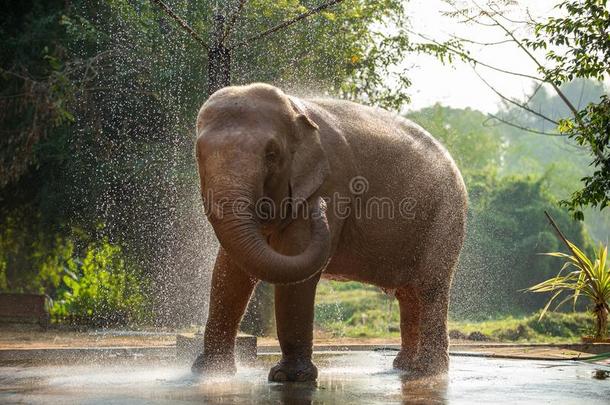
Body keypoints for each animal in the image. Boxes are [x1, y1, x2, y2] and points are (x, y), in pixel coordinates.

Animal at [191, 83, 466, 382]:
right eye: (198, 154)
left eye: (272, 155)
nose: (319, 208)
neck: (295, 109)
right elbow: (230, 271)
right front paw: (210, 372)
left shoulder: (330, 182)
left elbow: (295, 264)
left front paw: (288, 377)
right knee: (409, 293)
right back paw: (404, 367)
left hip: (446, 213)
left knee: (430, 286)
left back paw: (426, 372)